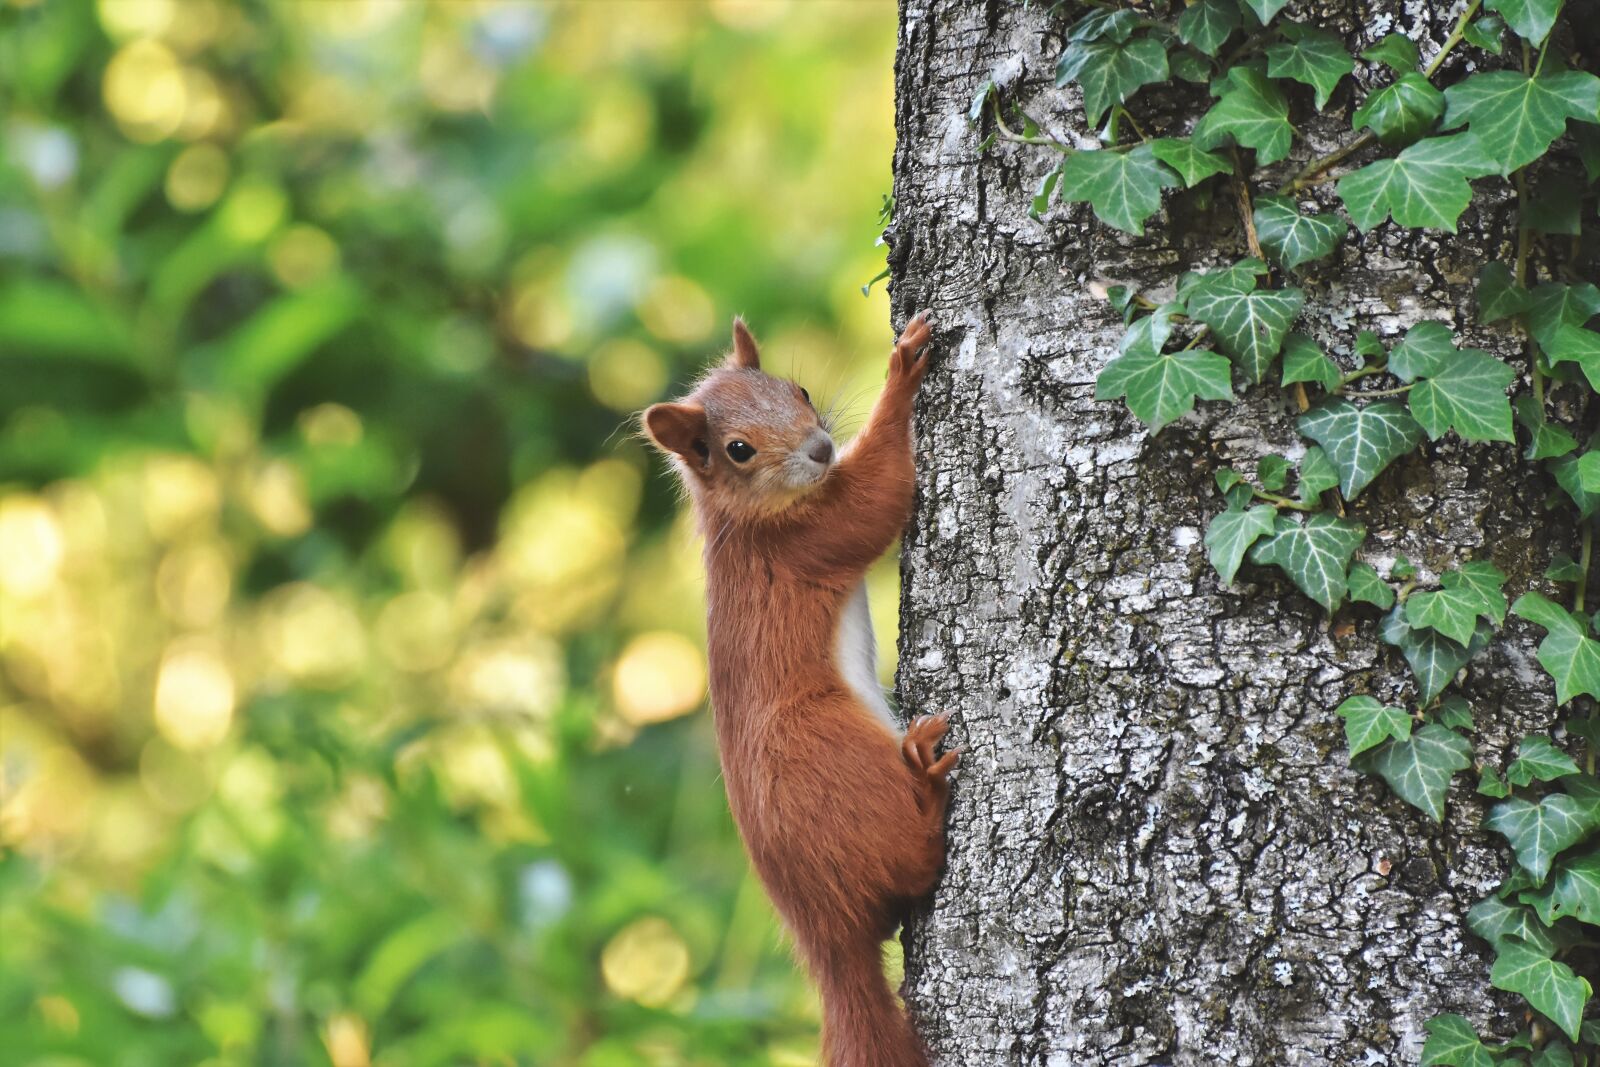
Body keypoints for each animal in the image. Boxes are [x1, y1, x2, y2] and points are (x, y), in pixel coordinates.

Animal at [641, 314, 956, 1067]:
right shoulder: (806, 539)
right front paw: (901, 373)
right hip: (832, 754)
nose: (820, 448)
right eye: (737, 449)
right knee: (915, 866)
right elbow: (877, 496)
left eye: (800, 389)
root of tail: (824, 934)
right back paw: (927, 788)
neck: (748, 517)